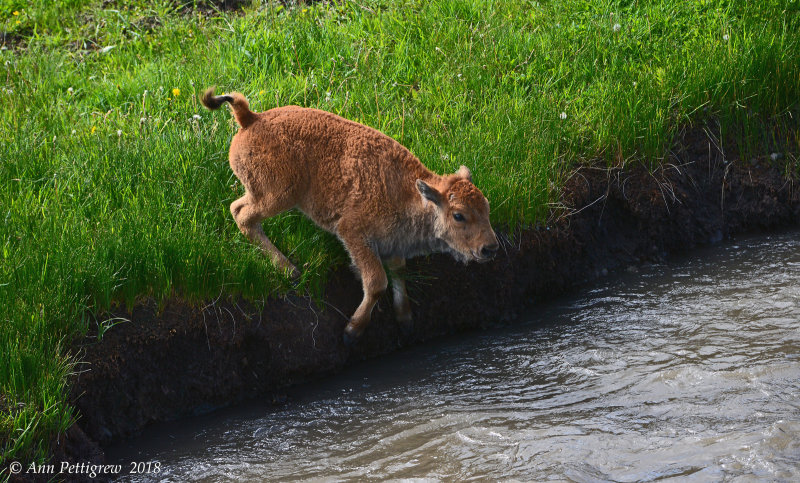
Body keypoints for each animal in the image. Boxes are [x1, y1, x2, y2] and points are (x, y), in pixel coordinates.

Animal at [203, 87, 496, 344]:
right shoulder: (353, 232)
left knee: (240, 211)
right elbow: (376, 282)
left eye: (487, 207)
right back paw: (291, 271)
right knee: (242, 215)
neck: (408, 194)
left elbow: (398, 271)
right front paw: (351, 332)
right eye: (459, 216)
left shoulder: (393, 243)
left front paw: (405, 321)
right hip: (277, 196)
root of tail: (252, 118)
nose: (490, 248)